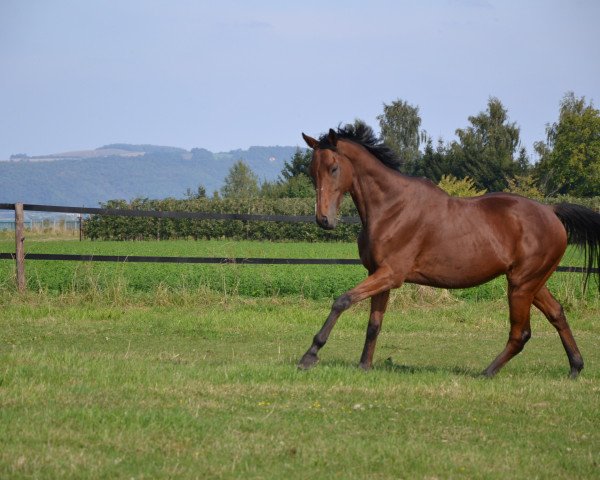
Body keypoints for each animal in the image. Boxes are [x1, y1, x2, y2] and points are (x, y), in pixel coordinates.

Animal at [300, 124, 600, 378]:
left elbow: (342, 301)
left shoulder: (391, 274)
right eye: (312, 172)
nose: (323, 220)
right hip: (532, 283)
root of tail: (551, 212)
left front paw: (310, 355)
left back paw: (486, 373)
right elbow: (374, 324)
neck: (390, 208)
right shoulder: (378, 274)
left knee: (521, 333)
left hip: (521, 285)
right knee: (556, 313)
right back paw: (575, 368)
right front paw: (365, 365)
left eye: (334, 168)